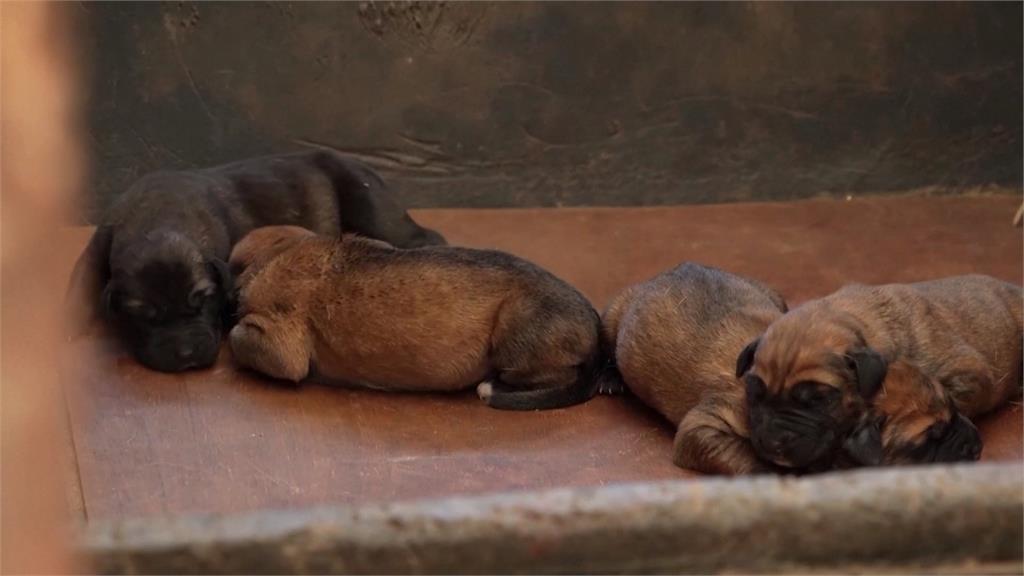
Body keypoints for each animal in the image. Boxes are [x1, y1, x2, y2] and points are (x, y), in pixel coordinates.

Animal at [64, 148, 444, 373]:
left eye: (203, 301)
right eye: (145, 317)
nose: (186, 355)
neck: (162, 217)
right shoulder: (98, 246)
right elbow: (78, 287)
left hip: (370, 205)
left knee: (423, 239)